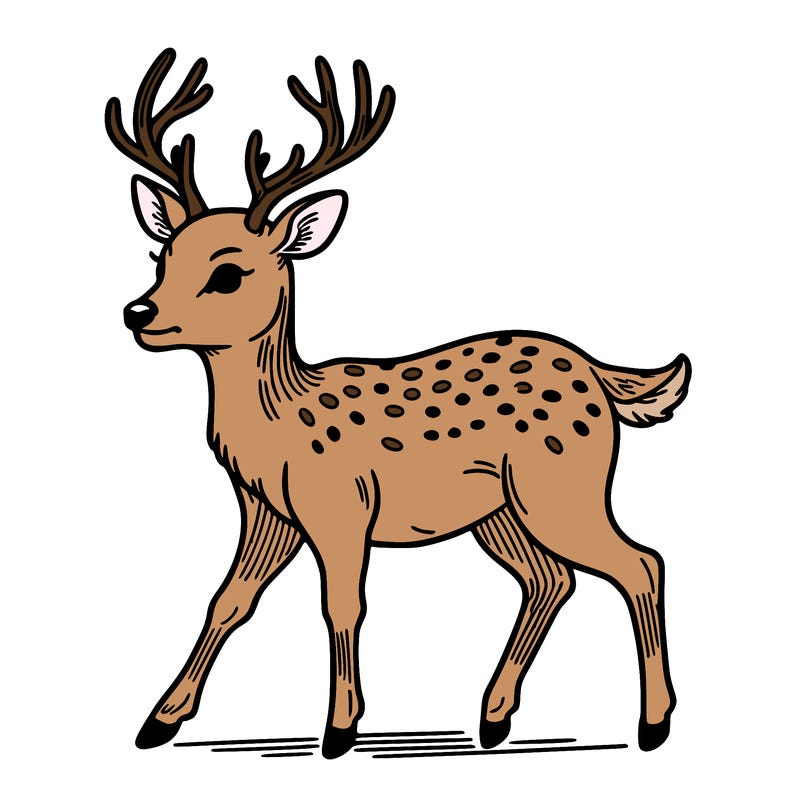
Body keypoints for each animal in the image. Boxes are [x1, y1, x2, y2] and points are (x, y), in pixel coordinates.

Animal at [107, 49, 691, 759]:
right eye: (161, 254)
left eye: (228, 273)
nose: (139, 313)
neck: (278, 425)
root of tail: (600, 375)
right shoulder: (267, 512)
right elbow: (230, 600)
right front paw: (159, 720)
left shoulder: (341, 506)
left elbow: (342, 605)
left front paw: (339, 729)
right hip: (501, 511)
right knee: (551, 579)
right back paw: (493, 717)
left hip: (561, 486)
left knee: (640, 563)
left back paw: (652, 723)